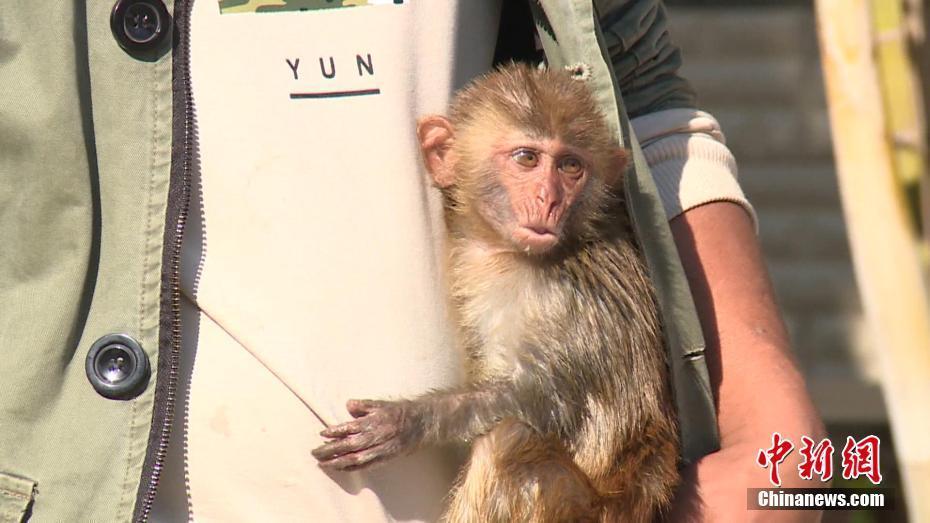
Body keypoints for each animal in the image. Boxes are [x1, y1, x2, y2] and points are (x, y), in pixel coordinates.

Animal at [308, 62, 676, 523]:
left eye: (571, 166)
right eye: (527, 158)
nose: (549, 199)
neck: (509, 255)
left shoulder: (566, 301)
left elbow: (548, 402)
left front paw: (412, 420)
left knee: (511, 443)